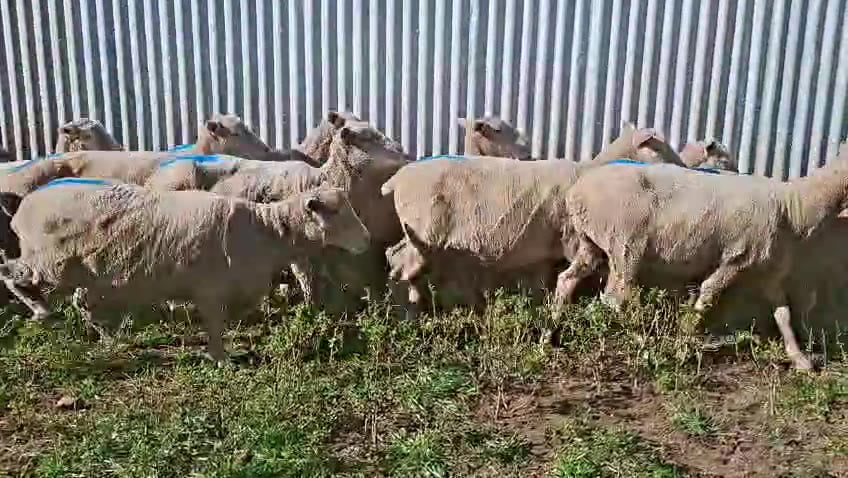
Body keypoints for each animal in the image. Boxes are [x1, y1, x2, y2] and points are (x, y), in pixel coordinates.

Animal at [0, 179, 370, 361]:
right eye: (334, 212)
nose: (367, 240)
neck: (266, 230)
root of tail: (23, 208)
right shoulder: (210, 289)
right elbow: (216, 327)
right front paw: (221, 359)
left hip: (80, 270)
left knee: (82, 303)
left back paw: (109, 339)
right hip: (47, 263)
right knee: (9, 272)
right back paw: (41, 311)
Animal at [381, 123, 685, 320]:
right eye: (658, 147)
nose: (685, 167)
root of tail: (396, 180)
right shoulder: (572, 239)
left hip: (416, 233)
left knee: (393, 254)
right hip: (425, 231)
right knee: (401, 264)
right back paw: (408, 312)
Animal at [555, 158, 848, 369]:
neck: (794, 206)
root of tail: (575, 192)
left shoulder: (767, 271)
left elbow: (783, 314)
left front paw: (800, 359)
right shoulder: (736, 258)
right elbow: (707, 295)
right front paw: (683, 338)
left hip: (592, 242)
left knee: (567, 279)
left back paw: (555, 325)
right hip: (625, 244)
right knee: (615, 297)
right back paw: (639, 338)